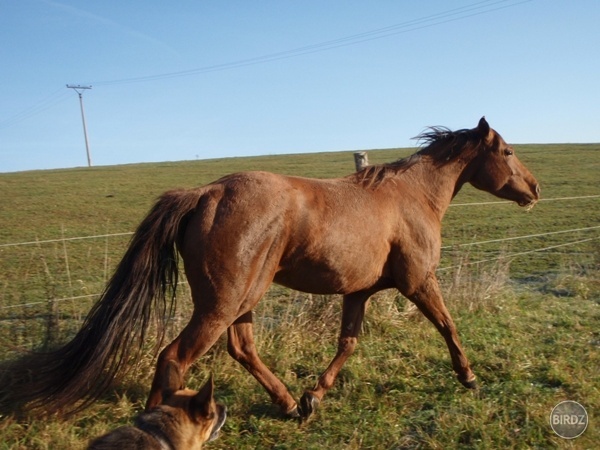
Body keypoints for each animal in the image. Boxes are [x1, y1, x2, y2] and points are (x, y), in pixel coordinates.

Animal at [1, 116, 540, 418]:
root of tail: (205, 193)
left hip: (243, 298)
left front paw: (314, 396)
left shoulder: (358, 292)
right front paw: (469, 378)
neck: (411, 197)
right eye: (508, 150)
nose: (534, 189)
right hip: (222, 303)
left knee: (241, 349)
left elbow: (348, 343)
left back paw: (288, 405)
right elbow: (448, 325)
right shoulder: (417, 280)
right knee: (175, 357)